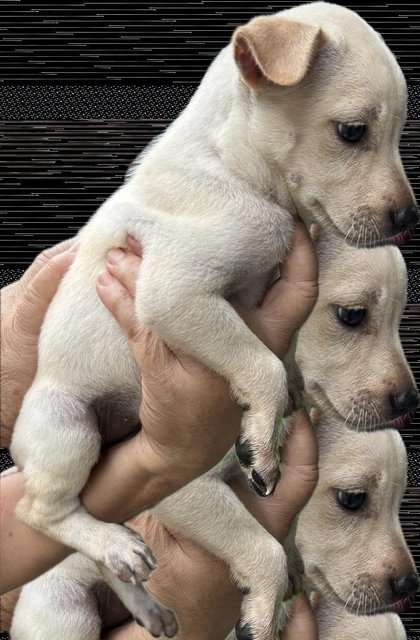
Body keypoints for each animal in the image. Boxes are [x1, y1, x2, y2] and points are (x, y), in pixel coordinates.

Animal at [11, 236, 418, 640]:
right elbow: (259, 544)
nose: (408, 401)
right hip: (68, 436)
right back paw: (113, 545)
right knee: (36, 512)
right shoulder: (182, 486)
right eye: (352, 315)